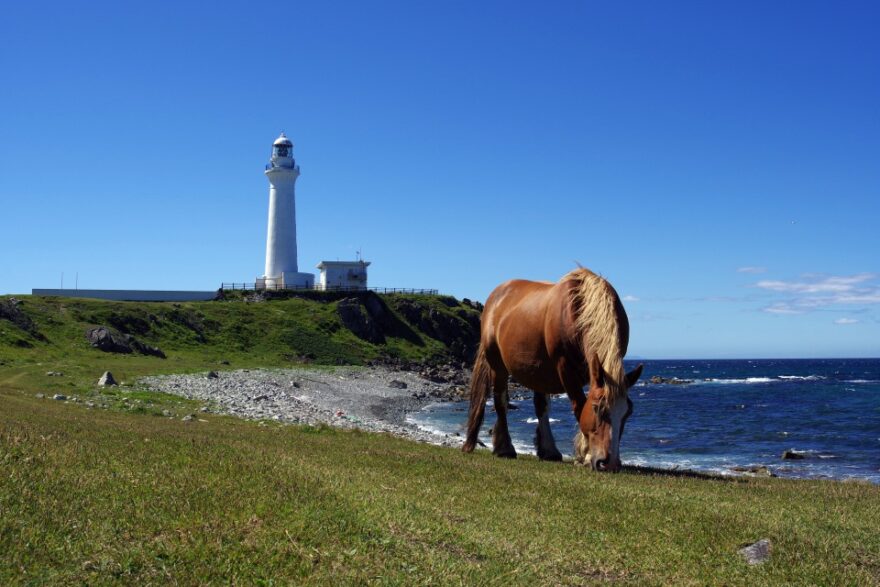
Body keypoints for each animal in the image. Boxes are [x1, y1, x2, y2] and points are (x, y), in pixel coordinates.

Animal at [460, 268, 640, 470]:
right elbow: (579, 406)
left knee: (540, 406)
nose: (608, 462)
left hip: (538, 371)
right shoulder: (565, 368)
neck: (579, 311)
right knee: (501, 402)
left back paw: (549, 450)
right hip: (497, 366)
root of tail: (495, 298)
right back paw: (505, 448)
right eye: (596, 408)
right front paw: (585, 456)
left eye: (627, 412)